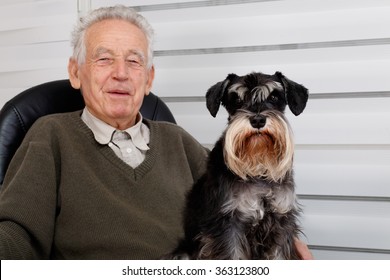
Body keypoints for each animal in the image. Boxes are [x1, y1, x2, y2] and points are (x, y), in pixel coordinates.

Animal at [164, 71, 308, 260]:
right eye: (237, 100)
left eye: (274, 96)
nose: (258, 120)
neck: (257, 170)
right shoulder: (229, 223)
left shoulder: (281, 220)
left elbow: (279, 256)